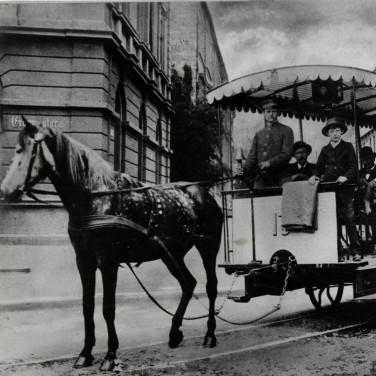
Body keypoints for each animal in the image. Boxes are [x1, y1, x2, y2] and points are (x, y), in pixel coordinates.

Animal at [0, 117, 223, 370]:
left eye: (26, 149)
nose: (6, 191)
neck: (95, 196)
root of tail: (203, 192)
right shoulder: (84, 261)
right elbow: (87, 306)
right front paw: (85, 353)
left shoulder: (108, 261)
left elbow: (108, 307)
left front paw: (110, 355)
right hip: (171, 254)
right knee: (188, 283)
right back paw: (175, 331)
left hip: (208, 248)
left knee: (210, 287)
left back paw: (209, 335)